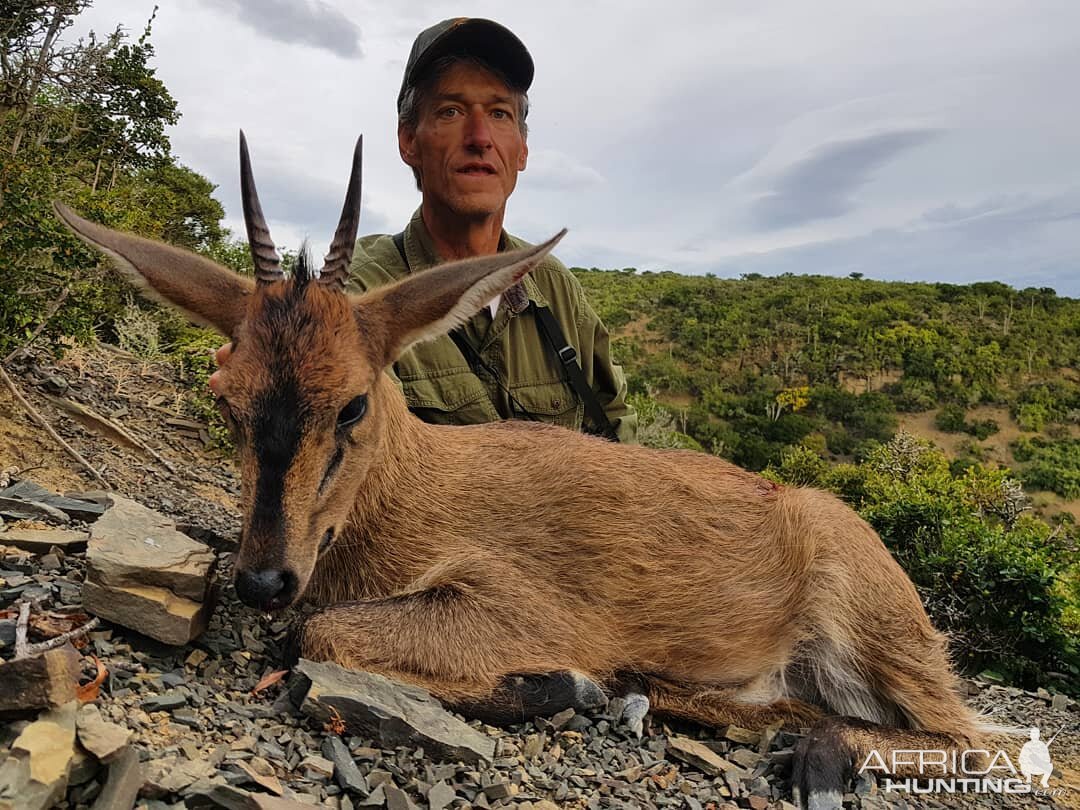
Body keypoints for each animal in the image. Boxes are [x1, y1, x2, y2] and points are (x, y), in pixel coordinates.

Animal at [56, 135, 989, 810]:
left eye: (353, 404)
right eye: (226, 396)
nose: (262, 579)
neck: (415, 495)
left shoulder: (512, 602)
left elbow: (319, 636)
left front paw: (559, 681)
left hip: (882, 638)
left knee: (972, 738)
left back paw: (814, 755)